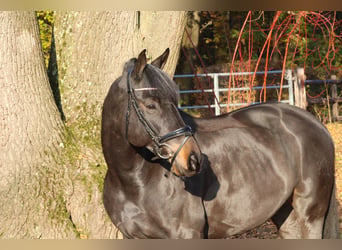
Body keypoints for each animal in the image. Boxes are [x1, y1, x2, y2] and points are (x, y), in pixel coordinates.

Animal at [101, 48, 340, 238]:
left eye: (175, 102)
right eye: (151, 105)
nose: (193, 159)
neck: (134, 181)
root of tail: (317, 125)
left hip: (309, 216)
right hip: (287, 217)